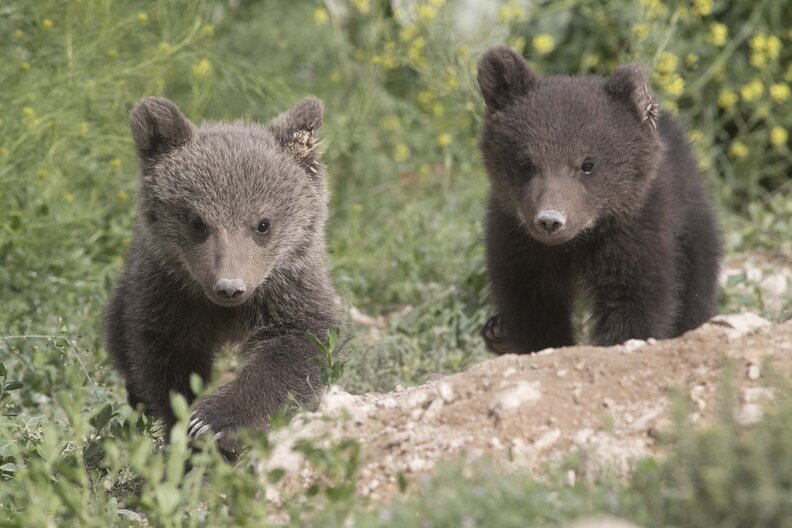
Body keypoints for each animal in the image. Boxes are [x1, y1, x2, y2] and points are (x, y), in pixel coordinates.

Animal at [103, 96, 341, 458]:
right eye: (197, 222)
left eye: (263, 224)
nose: (229, 287)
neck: (228, 313)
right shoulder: (168, 297)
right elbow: (168, 364)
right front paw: (189, 429)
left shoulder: (290, 290)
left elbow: (297, 347)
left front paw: (215, 421)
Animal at [476, 47, 722, 355]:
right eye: (525, 162)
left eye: (587, 164)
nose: (550, 220)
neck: (576, 244)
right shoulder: (518, 243)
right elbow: (530, 303)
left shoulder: (635, 231)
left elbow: (637, 297)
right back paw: (498, 333)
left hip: (691, 225)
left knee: (696, 287)